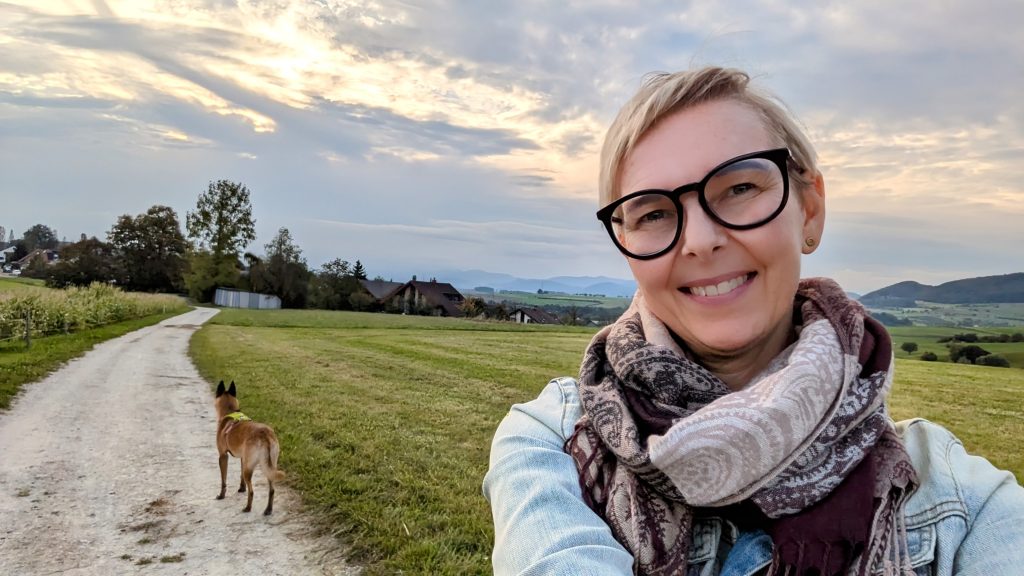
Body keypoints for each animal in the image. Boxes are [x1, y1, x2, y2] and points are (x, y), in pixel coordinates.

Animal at [212, 379, 284, 512]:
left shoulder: (223, 456)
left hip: (250, 467)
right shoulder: (243, 458)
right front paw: (241, 488)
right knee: (271, 489)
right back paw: (268, 510)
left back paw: (247, 508)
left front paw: (221, 495)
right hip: (269, 465)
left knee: (252, 492)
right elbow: (241, 477)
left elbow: (223, 480)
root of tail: (265, 435)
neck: (230, 411)